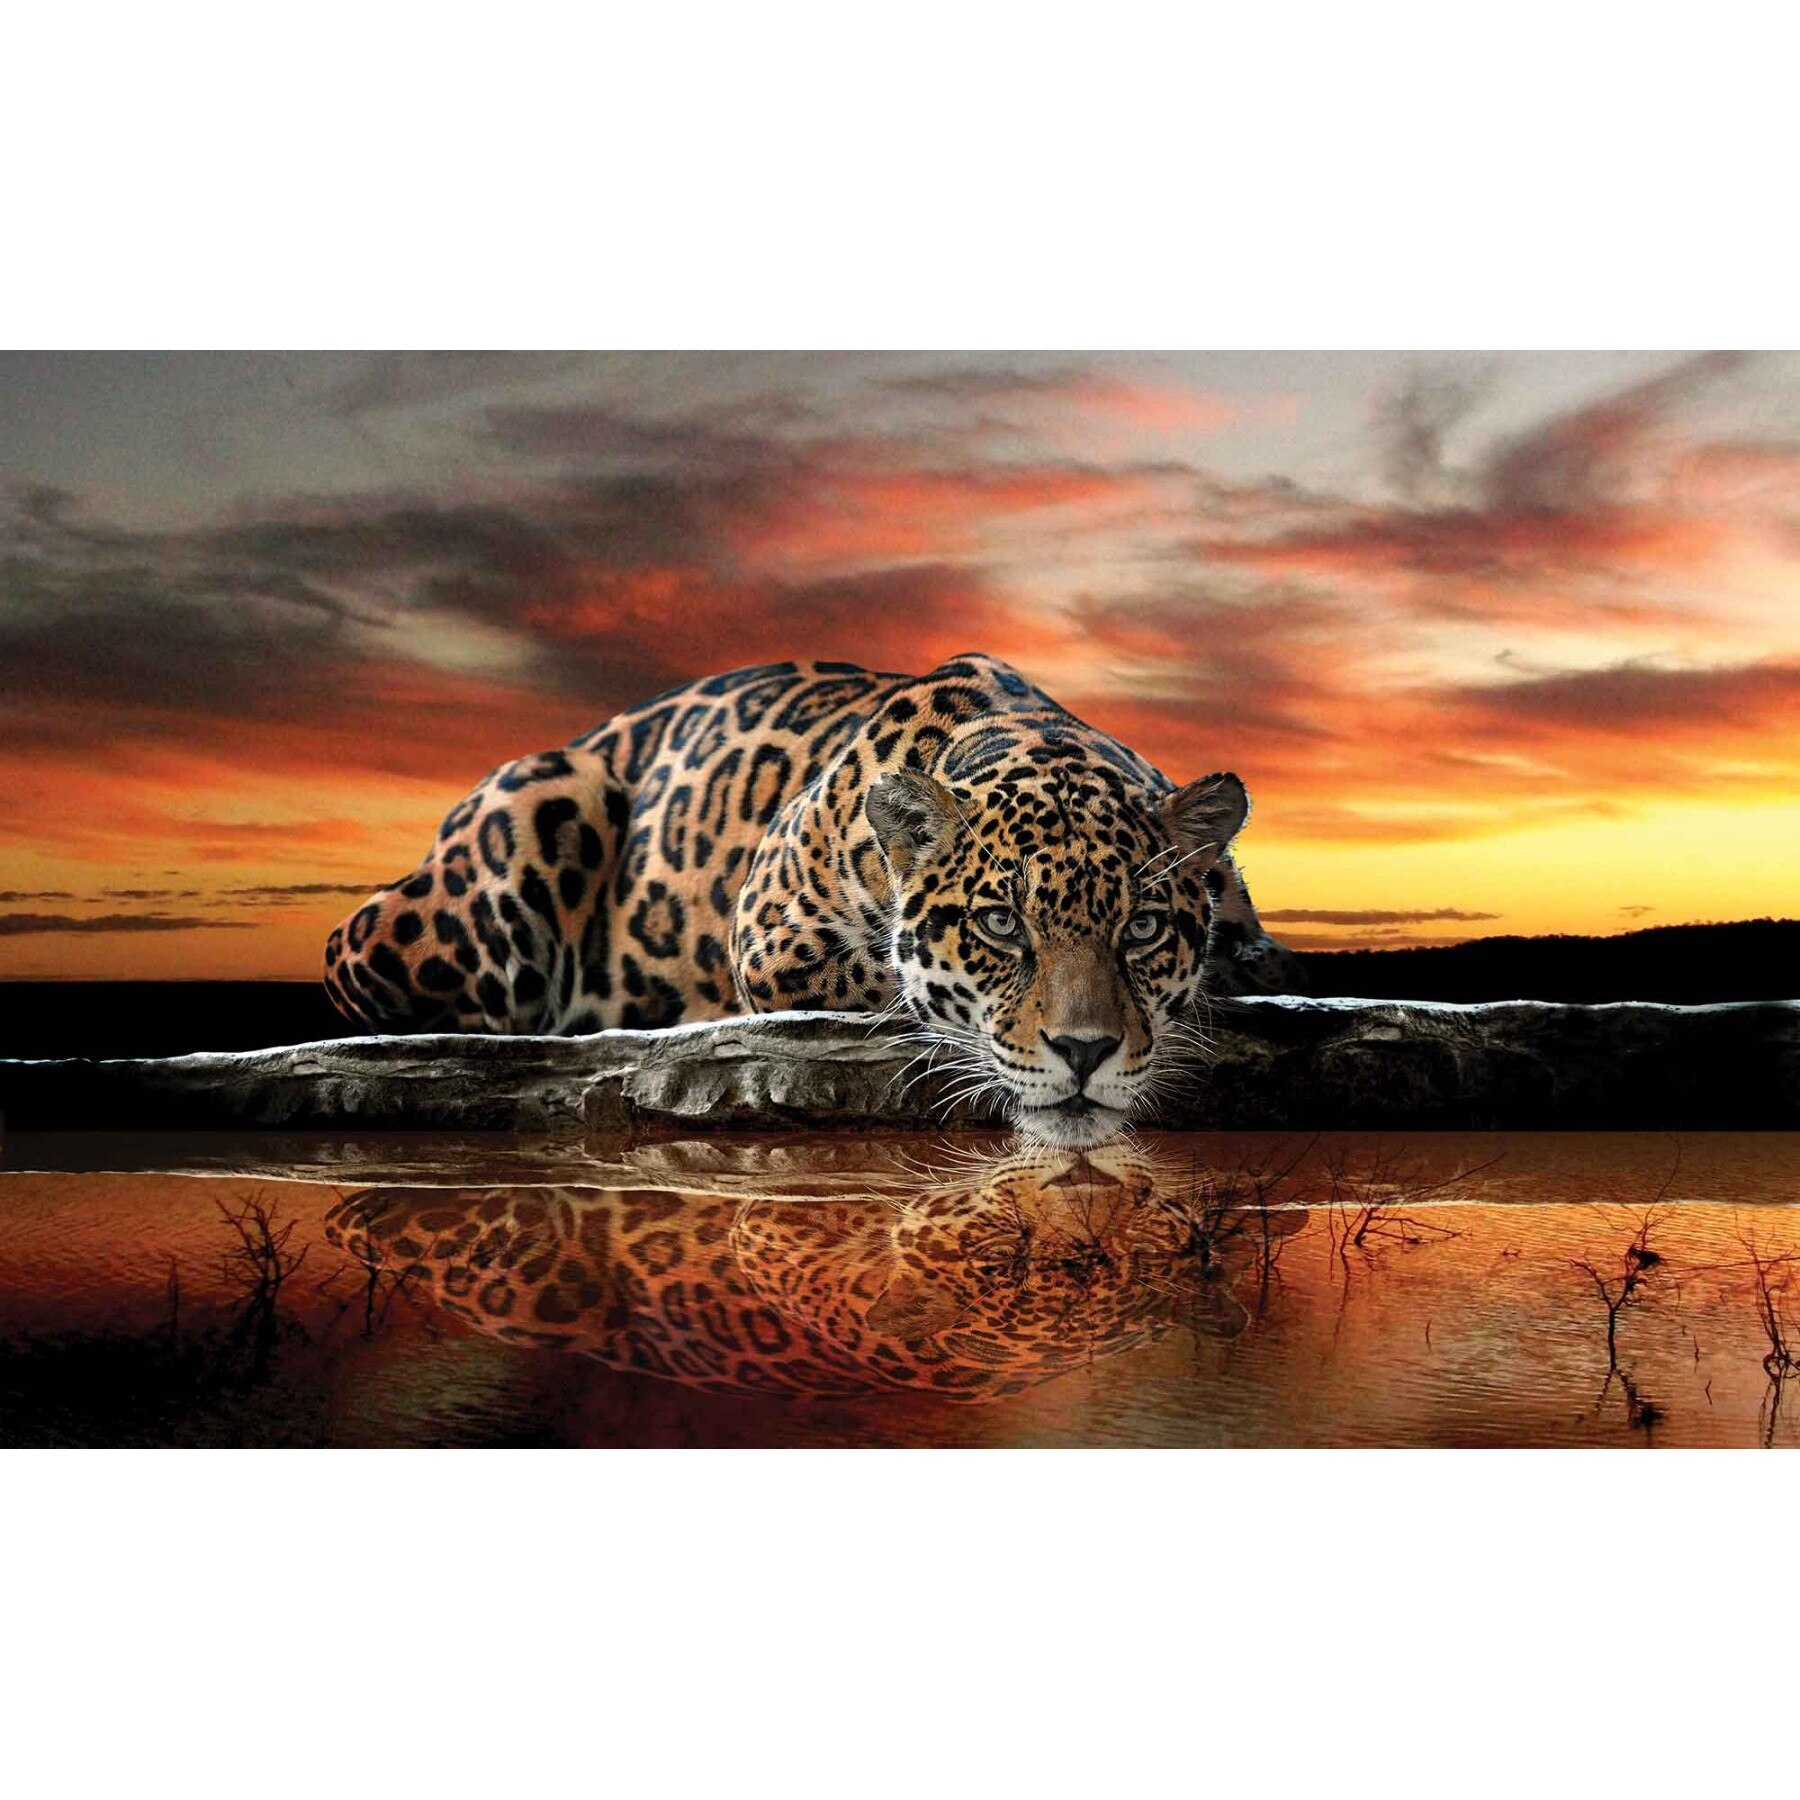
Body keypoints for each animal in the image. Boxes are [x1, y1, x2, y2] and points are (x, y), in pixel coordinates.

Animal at [323, 653, 1304, 1144]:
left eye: (1141, 928)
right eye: (999, 924)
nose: (1086, 1053)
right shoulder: (771, 936)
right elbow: (895, 988)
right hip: (534, 811)